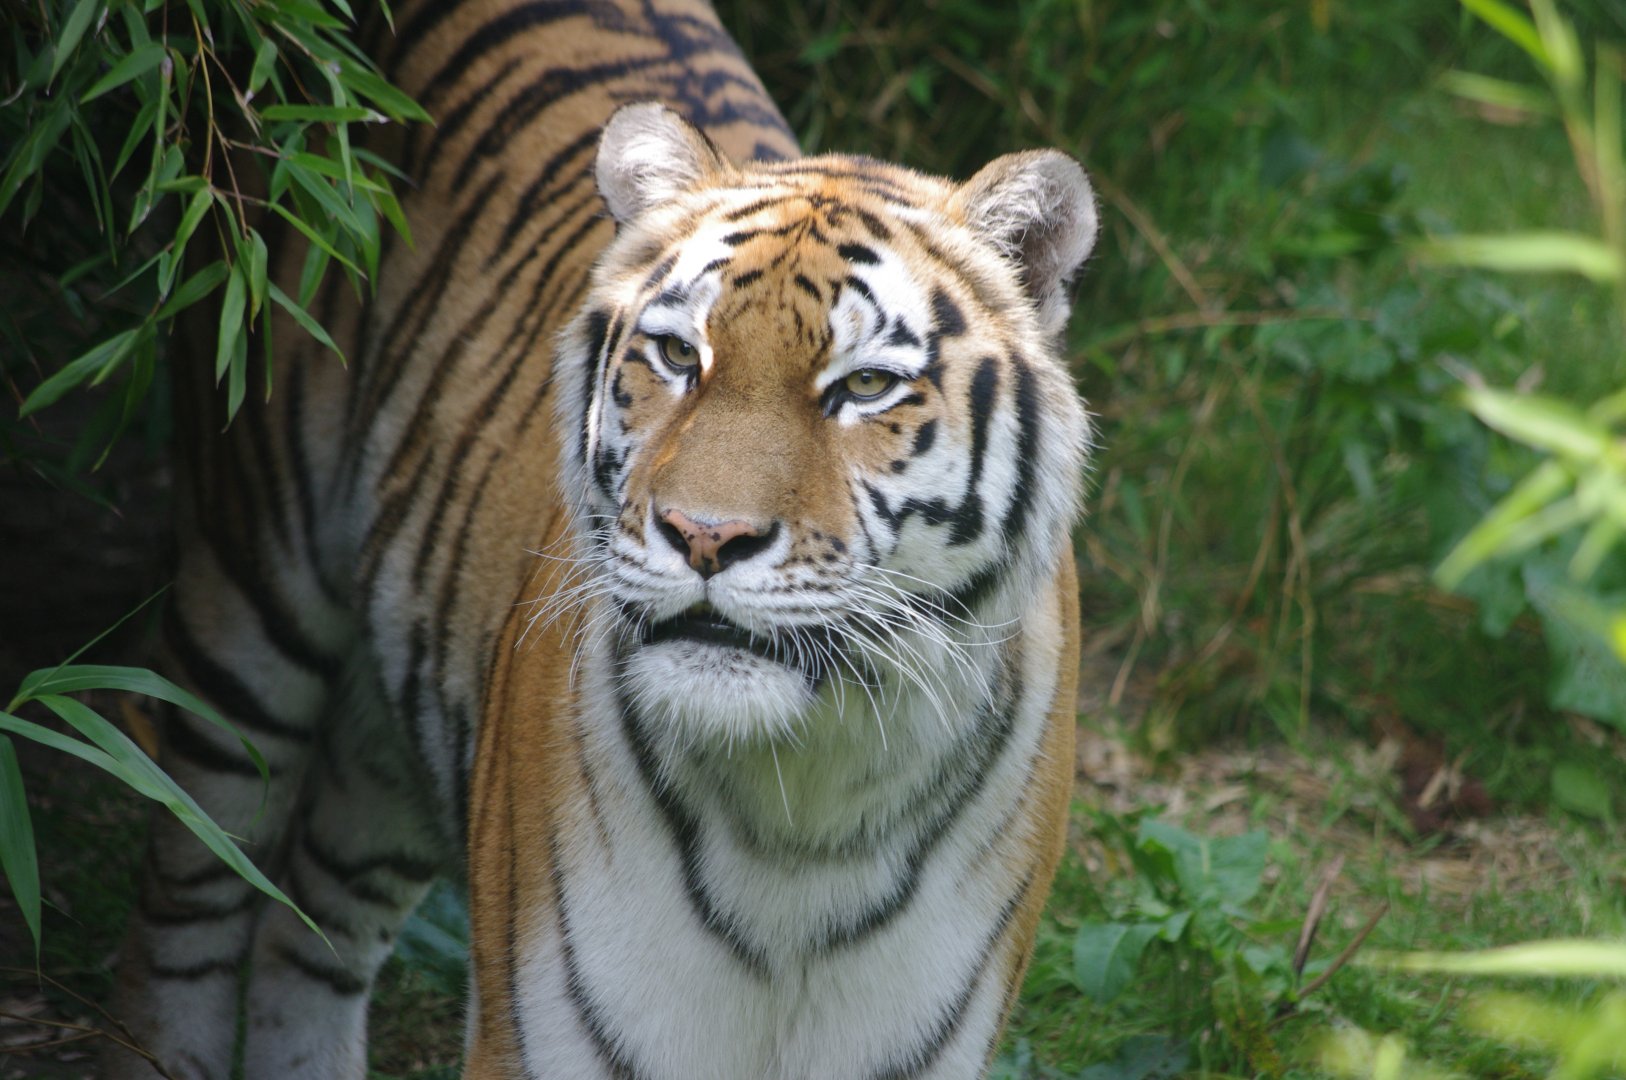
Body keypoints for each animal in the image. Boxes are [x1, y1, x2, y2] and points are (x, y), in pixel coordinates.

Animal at [99, 1, 1097, 1078]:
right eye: (678, 355)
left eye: (865, 386)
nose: (706, 537)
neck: (801, 817)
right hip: (248, 597)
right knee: (188, 889)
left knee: (311, 922)